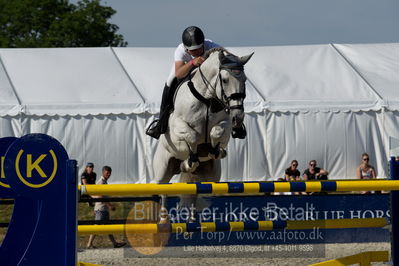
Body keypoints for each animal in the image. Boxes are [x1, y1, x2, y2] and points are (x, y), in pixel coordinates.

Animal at [152, 48, 253, 222]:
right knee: (163, 191)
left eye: (245, 80)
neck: (206, 99)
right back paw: (164, 220)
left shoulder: (226, 125)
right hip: (162, 170)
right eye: (225, 80)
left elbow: (217, 132)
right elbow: (192, 136)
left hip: (211, 175)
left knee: (196, 192)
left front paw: (215, 151)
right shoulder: (177, 126)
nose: (238, 117)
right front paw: (191, 159)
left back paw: (193, 220)